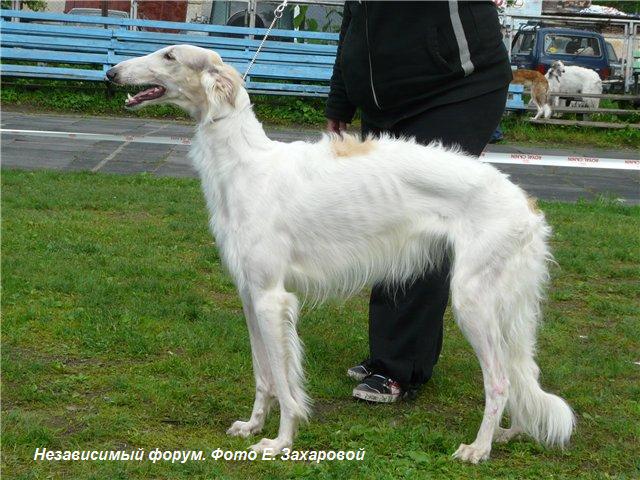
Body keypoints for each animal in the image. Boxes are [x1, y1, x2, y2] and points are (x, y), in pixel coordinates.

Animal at [107, 45, 574, 463]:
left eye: (169, 55)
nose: (111, 73)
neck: (247, 164)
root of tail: (526, 203)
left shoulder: (272, 298)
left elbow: (283, 380)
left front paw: (280, 441)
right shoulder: (249, 295)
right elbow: (263, 375)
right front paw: (252, 425)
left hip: (472, 301)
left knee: (499, 381)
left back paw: (479, 448)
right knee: (520, 375)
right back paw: (510, 433)